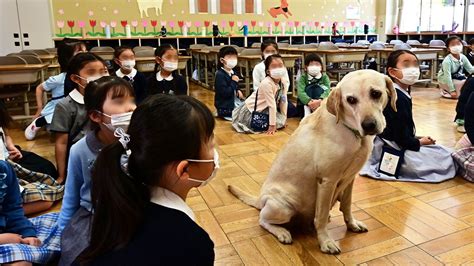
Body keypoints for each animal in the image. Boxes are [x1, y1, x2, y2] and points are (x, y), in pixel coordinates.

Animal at [229, 70, 396, 254]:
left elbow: (347, 205)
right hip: (284, 207)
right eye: (351, 99)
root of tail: (260, 199)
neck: (353, 133)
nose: (369, 125)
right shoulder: (327, 181)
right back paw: (282, 232)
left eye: (376, 93)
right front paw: (325, 242)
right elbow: (320, 217)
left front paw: (351, 224)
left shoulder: (350, 179)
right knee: (262, 220)